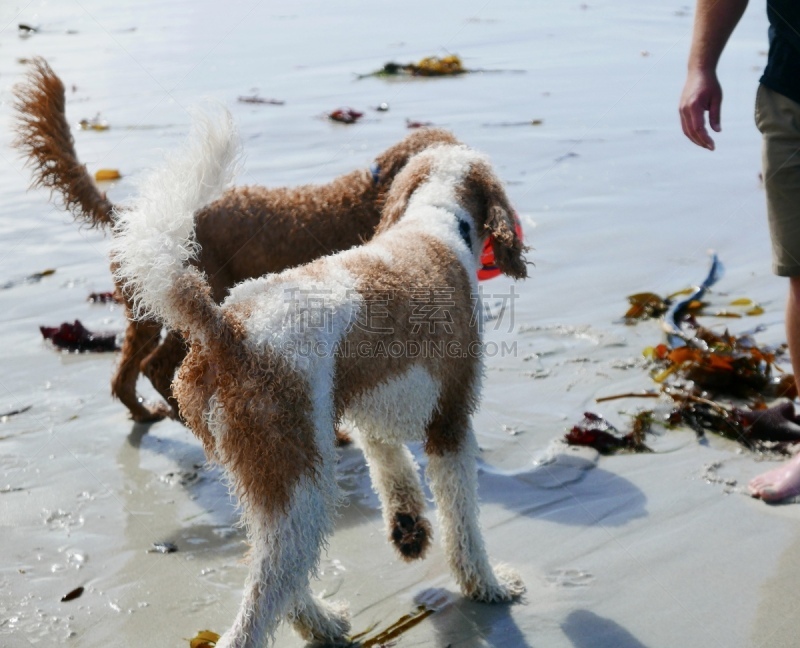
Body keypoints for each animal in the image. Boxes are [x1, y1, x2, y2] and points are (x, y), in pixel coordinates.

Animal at [12, 58, 460, 422]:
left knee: (126, 374)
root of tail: (134, 218)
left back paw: (146, 414)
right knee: (157, 368)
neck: (371, 194)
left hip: (144, 313)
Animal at [111, 109, 524, 644]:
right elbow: (464, 524)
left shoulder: (373, 406)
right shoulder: (450, 423)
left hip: (269, 478)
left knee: (274, 572)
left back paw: (324, 622)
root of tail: (226, 329)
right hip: (300, 478)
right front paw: (487, 586)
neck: (435, 219)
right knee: (261, 599)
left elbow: (391, 467)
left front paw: (408, 526)